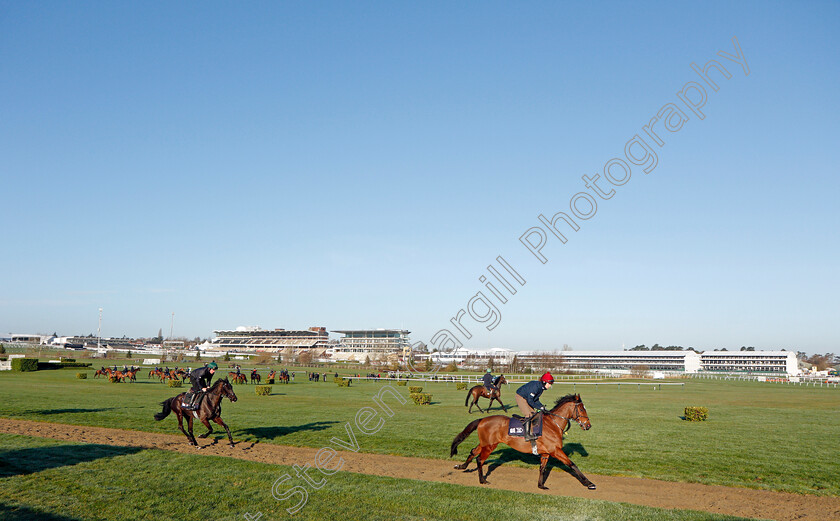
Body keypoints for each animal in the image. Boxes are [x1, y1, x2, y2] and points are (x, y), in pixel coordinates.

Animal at [450, 392, 592, 490]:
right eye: (581, 409)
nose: (588, 426)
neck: (553, 424)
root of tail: (482, 419)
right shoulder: (555, 451)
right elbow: (572, 464)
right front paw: (589, 483)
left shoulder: (546, 453)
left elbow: (542, 468)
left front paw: (541, 485)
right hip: (490, 446)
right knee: (480, 459)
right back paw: (482, 480)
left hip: (485, 443)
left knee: (473, 452)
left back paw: (462, 466)